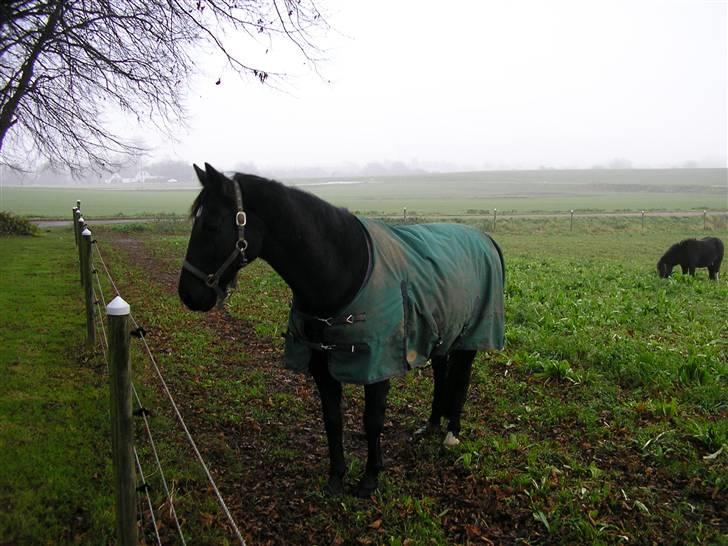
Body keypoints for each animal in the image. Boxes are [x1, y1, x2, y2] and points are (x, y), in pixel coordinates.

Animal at [177, 164, 506, 496]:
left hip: (471, 336)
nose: (188, 294)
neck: (343, 271)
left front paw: (370, 477)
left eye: (211, 226)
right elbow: (332, 419)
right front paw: (336, 477)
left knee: (461, 377)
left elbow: (372, 420)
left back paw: (451, 433)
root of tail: (486, 239)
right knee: (441, 372)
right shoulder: (322, 367)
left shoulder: (377, 367)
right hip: (440, 333)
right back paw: (432, 426)